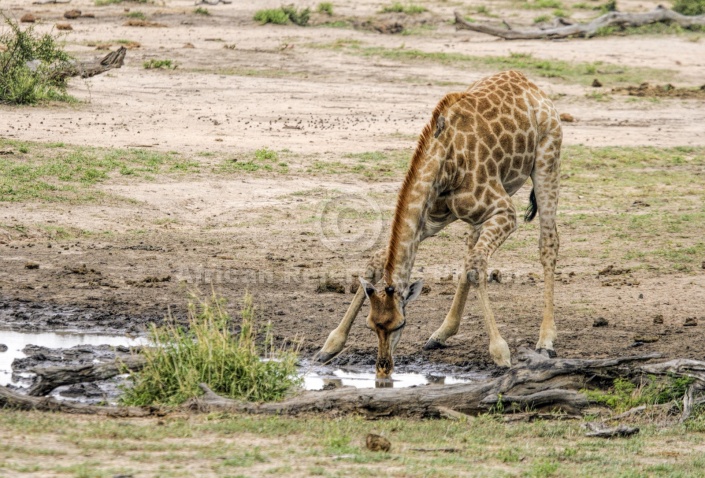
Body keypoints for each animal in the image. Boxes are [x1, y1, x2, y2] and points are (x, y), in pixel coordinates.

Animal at [316, 71, 560, 378]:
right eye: (372, 325)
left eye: (401, 324)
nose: (383, 368)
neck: (446, 162)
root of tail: (530, 83)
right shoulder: (429, 220)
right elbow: (376, 261)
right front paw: (330, 345)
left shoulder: (505, 212)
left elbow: (478, 267)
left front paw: (500, 353)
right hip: (475, 215)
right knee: (470, 253)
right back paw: (441, 333)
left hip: (547, 161)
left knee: (547, 244)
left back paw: (546, 341)